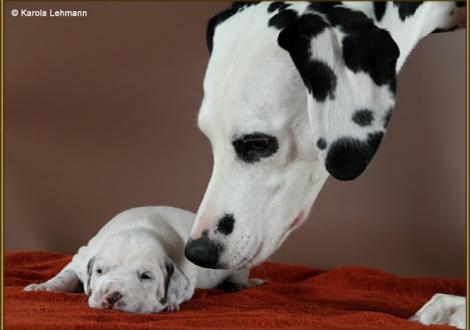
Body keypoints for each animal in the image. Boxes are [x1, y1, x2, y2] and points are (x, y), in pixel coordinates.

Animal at [24, 208, 264, 314]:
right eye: (99, 271)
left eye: (146, 276)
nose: (112, 295)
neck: (138, 228)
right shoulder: (81, 257)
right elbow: (65, 275)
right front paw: (43, 287)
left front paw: (171, 303)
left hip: (238, 262)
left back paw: (238, 285)